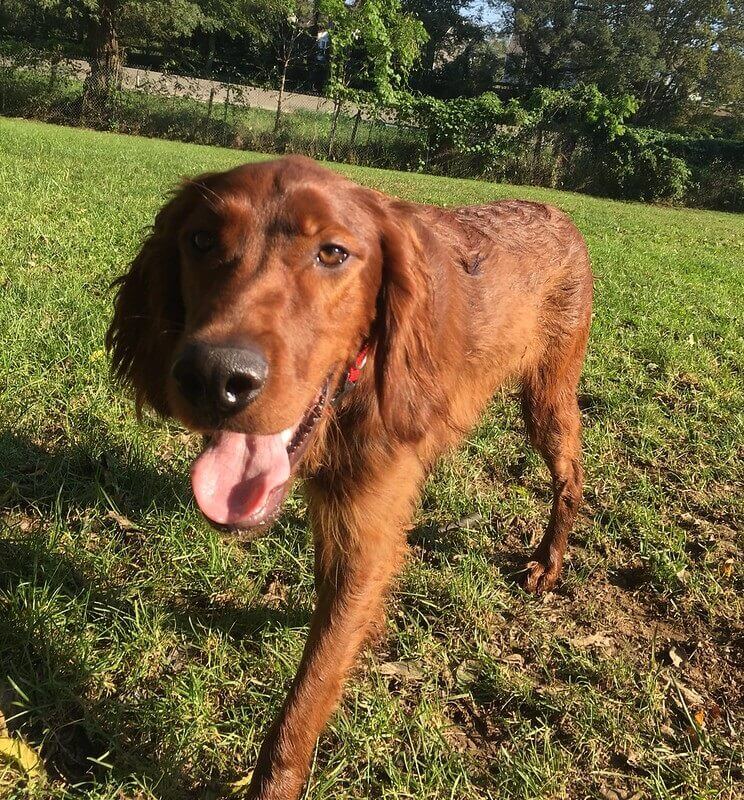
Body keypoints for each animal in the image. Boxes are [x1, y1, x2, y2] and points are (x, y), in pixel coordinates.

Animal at [104, 156, 592, 800]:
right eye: (201, 240)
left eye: (333, 253)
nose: (214, 378)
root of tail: (558, 211)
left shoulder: (364, 532)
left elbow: (306, 698)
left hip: (547, 395)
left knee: (571, 475)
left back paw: (548, 559)